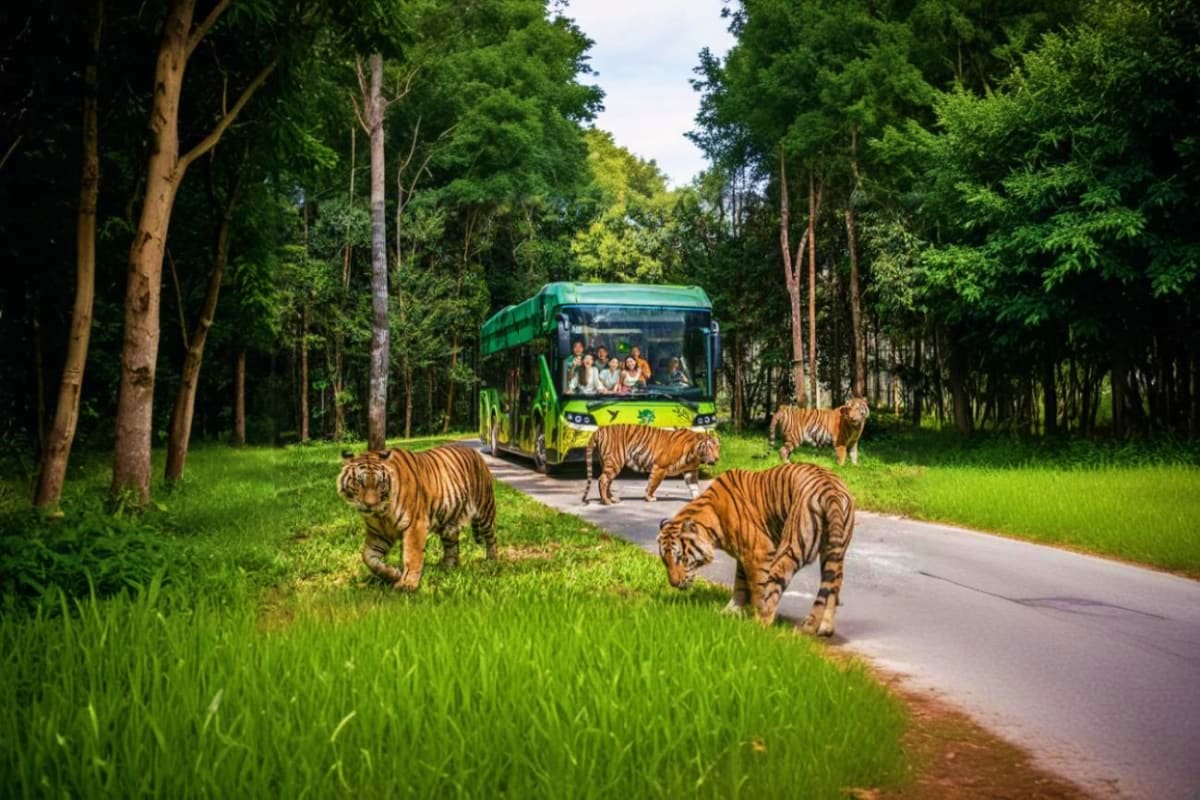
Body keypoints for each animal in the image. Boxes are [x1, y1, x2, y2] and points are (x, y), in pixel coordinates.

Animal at [338, 445, 497, 591]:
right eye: (358, 483)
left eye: (380, 483)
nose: (370, 504)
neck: (381, 514)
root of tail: (474, 451)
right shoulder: (379, 533)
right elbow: (368, 557)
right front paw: (394, 574)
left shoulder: (415, 525)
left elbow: (412, 556)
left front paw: (407, 585)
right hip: (449, 523)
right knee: (452, 547)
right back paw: (446, 568)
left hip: (485, 510)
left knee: (491, 538)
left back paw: (492, 561)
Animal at [582, 425, 720, 505]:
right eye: (709, 447)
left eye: (718, 447)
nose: (717, 458)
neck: (695, 455)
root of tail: (599, 429)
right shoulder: (660, 467)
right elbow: (653, 484)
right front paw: (649, 498)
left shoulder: (690, 471)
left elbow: (694, 487)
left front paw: (698, 498)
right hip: (615, 461)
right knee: (602, 479)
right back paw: (606, 501)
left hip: (608, 462)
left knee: (607, 481)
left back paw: (611, 498)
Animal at [656, 462, 856, 635]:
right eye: (665, 561)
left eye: (681, 559)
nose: (673, 584)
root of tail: (830, 490)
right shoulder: (744, 555)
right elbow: (740, 585)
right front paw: (728, 612)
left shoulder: (758, 552)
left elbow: (758, 589)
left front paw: (749, 617)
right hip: (834, 552)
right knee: (833, 584)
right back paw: (825, 628)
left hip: (790, 548)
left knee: (774, 588)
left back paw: (759, 624)